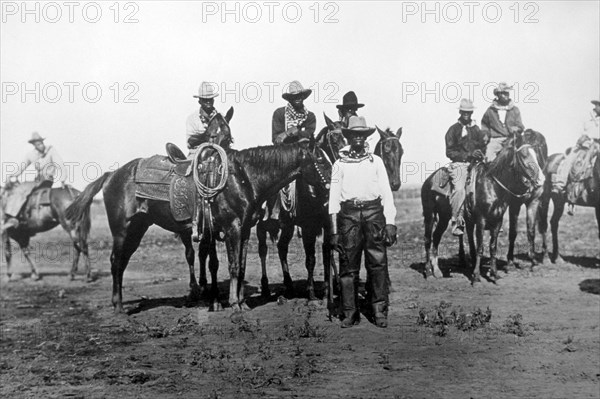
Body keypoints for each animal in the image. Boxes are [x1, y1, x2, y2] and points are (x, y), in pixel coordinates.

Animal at [67, 139, 330, 314]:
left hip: (137, 229)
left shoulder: (245, 230)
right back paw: (119, 307)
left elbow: (242, 266)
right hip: (122, 231)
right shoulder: (233, 228)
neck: (244, 177)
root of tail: (112, 175)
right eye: (319, 159)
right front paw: (234, 305)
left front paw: (242, 302)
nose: (331, 187)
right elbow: (233, 266)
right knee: (115, 262)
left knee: (121, 263)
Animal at [422, 136, 544, 282]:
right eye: (524, 155)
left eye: (537, 154)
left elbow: (493, 247)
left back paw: (437, 271)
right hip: (429, 214)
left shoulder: (497, 221)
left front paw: (494, 273)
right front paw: (476, 275)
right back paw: (428, 271)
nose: (541, 180)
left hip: (444, 217)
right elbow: (480, 247)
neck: (492, 185)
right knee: (428, 239)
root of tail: (428, 180)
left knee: (436, 237)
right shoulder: (481, 220)